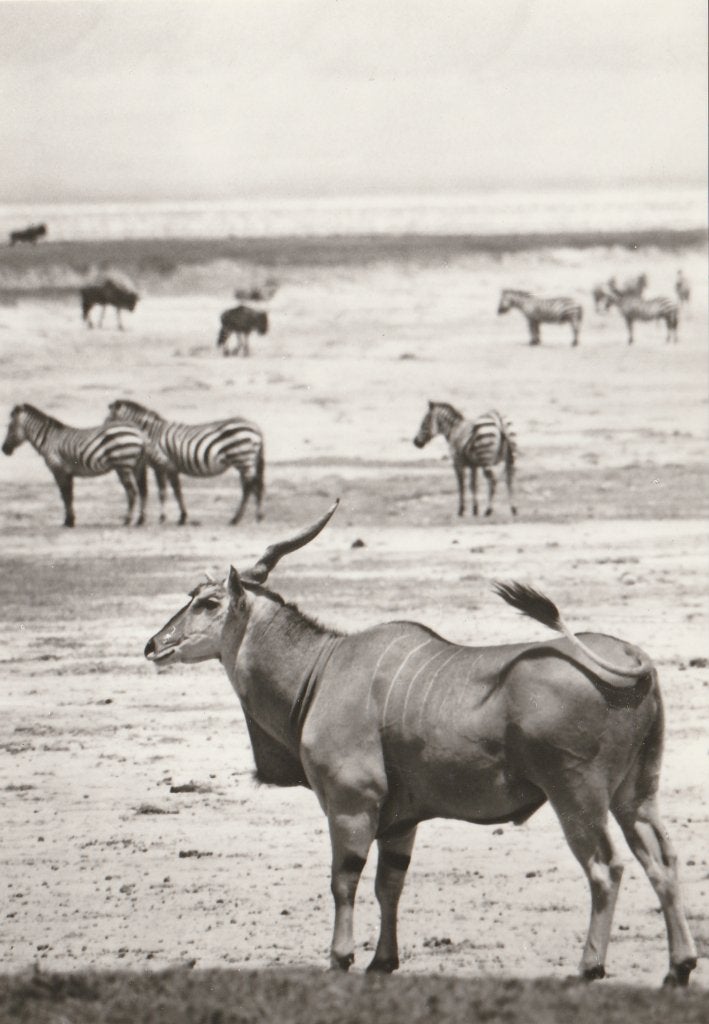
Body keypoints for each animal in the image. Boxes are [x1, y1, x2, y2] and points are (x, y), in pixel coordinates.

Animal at [2, 403, 150, 527]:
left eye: (10, 427)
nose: (4, 450)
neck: (48, 440)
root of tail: (139, 432)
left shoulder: (59, 470)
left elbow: (65, 495)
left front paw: (68, 521)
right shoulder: (68, 473)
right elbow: (70, 495)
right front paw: (70, 520)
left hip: (123, 466)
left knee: (132, 492)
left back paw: (127, 520)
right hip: (136, 466)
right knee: (142, 491)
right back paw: (140, 520)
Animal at [105, 399, 265, 525]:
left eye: (107, 420)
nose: (102, 433)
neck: (151, 434)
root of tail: (256, 428)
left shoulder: (161, 465)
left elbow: (165, 492)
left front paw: (169, 517)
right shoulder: (170, 467)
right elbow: (175, 491)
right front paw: (180, 517)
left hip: (242, 458)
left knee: (249, 486)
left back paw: (236, 518)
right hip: (245, 461)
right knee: (254, 484)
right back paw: (257, 516)